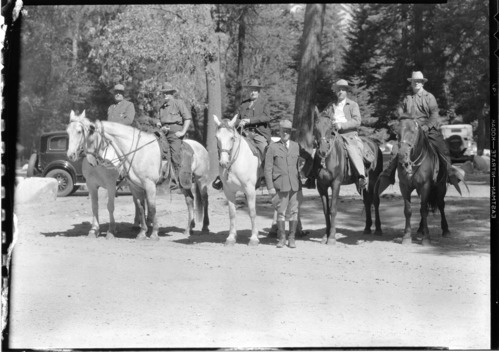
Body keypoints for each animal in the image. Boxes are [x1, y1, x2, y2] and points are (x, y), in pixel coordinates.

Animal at [214, 114, 262, 246]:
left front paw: (254, 238)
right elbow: (232, 213)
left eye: (231, 138)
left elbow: (252, 212)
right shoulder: (228, 191)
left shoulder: (250, 189)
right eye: (217, 137)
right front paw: (231, 237)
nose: (224, 163)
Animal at [314, 115, 384, 245]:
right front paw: (325, 236)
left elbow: (333, 209)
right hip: (363, 182)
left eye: (330, 129)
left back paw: (378, 229)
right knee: (367, 201)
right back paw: (367, 228)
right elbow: (326, 211)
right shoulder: (321, 186)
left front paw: (332, 237)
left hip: (374, 179)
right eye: (315, 128)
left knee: (376, 201)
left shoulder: (336, 184)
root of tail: (375, 145)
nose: (322, 151)